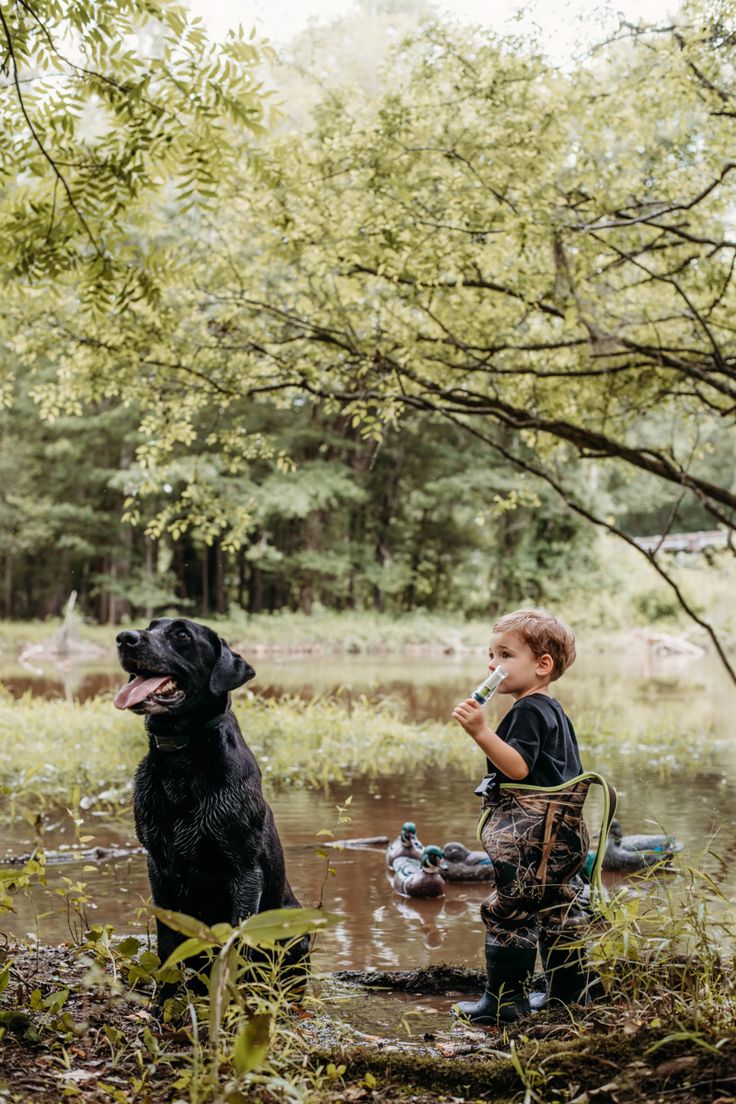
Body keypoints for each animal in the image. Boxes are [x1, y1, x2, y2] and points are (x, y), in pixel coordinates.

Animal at [114, 618, 308, 989]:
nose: (124, 638)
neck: (181, 756)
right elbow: (167, 945)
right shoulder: (157, 865)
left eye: (181, 635)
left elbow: (238, 947)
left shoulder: (245, 872)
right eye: (150, 626)